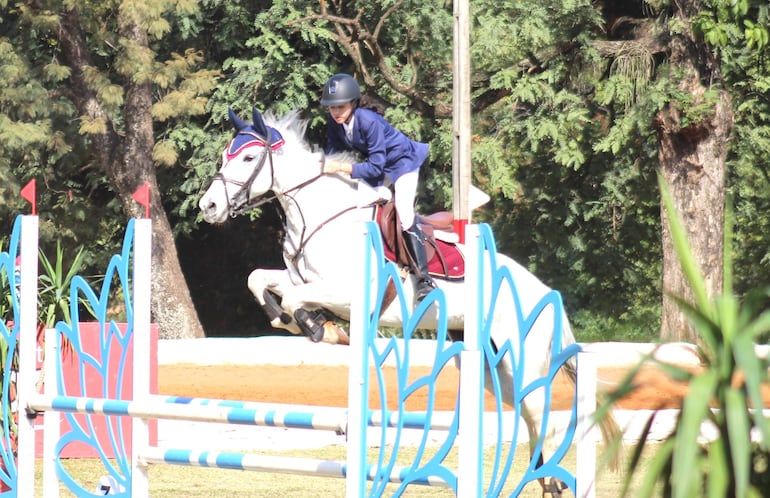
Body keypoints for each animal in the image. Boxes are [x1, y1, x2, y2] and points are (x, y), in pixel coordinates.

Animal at [198, 108, 616, 494]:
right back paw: (548, 482)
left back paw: (552, 481)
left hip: (523, 359)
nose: (208, 207)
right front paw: (299, 323)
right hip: (490, 366)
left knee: (540, 412)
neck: (320, 215)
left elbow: (296, 300)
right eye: (225, 155)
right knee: (527, 416)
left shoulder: (346, 293)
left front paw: (321, 328)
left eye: (249, 158)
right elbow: (260, 281)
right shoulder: (304, 281)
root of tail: (544, 292)